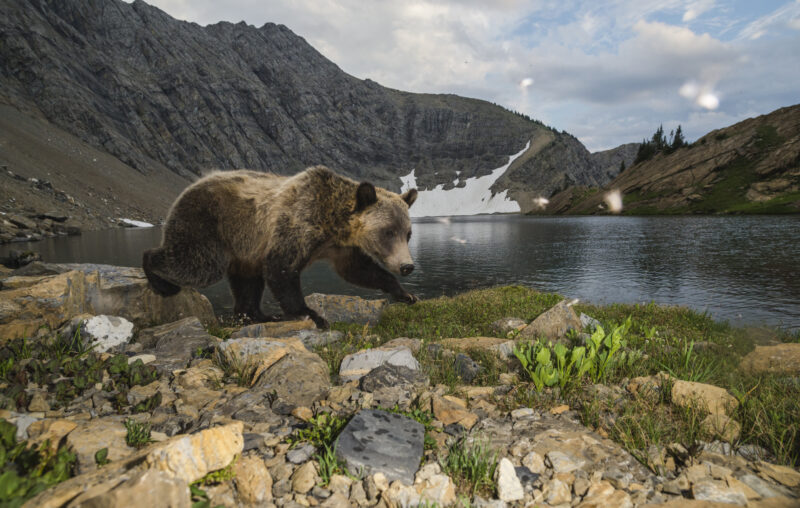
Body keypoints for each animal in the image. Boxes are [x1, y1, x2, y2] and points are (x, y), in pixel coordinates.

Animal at [143, 165, 418, 328]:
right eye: (387, 231)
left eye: (407, 233)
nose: (407, 266)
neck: (332, 223)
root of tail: (189, 187)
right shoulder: (297, 222)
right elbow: (281, 268)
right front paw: (311, 314)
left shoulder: (341, 248)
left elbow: (360, 271)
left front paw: (405, 293)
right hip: (210, 223)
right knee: (197, 265)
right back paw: (158, 276)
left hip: (244, 248)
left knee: (247, 282)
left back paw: (258, 314)